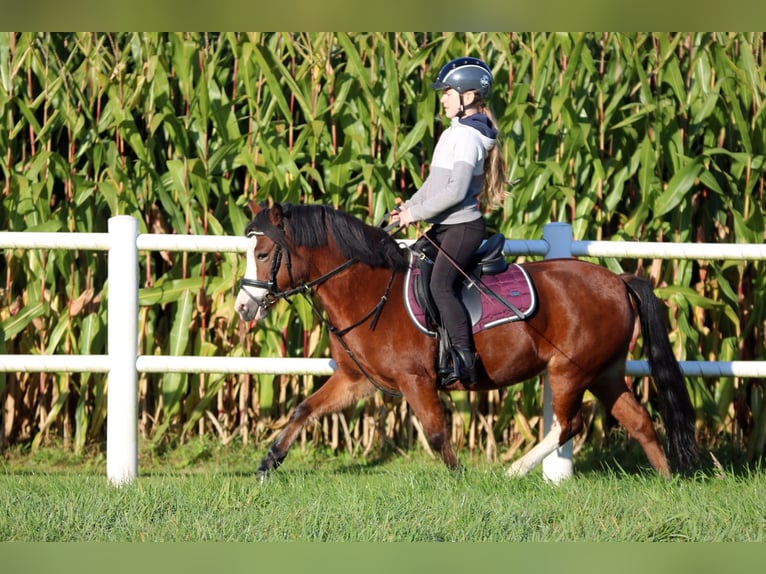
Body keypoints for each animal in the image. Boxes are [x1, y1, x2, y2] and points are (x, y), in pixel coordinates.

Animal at [236, 202, 704, 482]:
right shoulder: (356, 380)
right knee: (638, 421)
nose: (243, 307)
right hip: (605, 371)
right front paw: (266, 464)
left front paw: (459, 480)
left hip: (569, 370)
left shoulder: (416, 380)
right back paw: (666, 481)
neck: (369, 291)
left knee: (569, 425)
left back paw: (514, 470)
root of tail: (617, 280)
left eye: (263, 254)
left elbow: (436, 433)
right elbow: (303, 410)